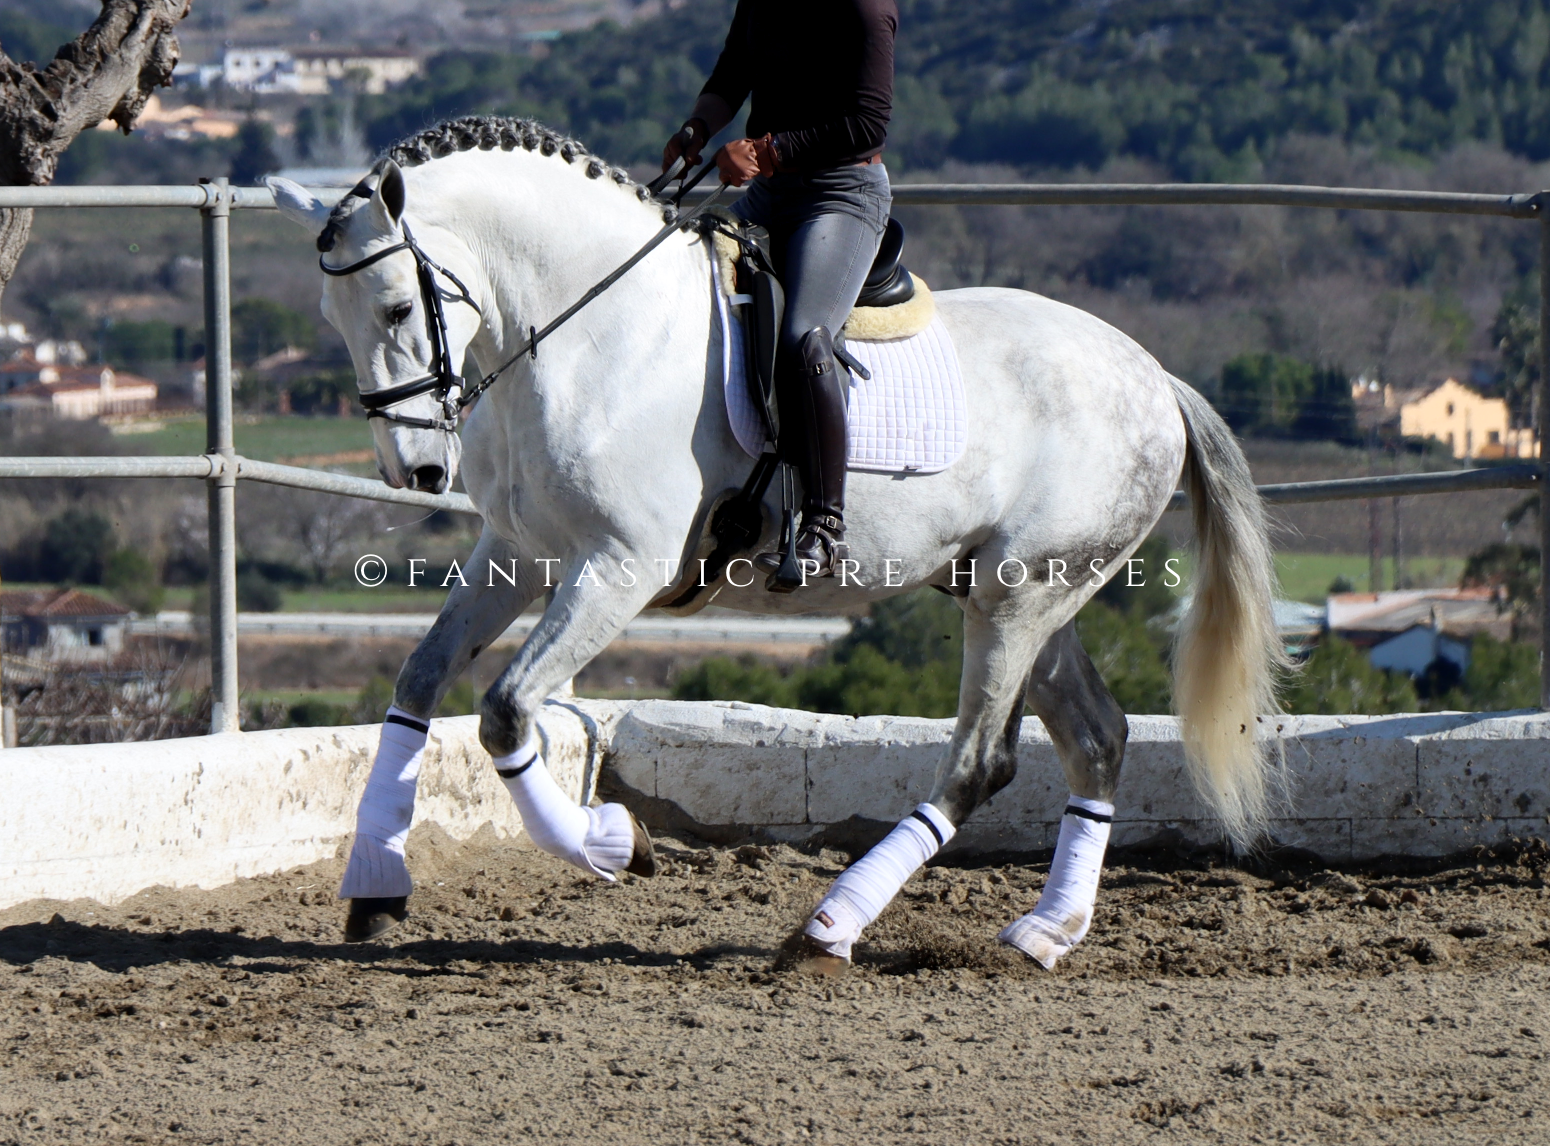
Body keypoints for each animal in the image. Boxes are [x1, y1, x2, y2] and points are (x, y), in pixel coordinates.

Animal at [268, 115, 1284, 970]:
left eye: (399, 309)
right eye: (331, 320)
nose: (415, 471)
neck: (590, 334)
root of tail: (1154, 376)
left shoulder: (619, 569)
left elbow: (508, 711)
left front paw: (615, 845)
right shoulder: (517, 556)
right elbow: (418, 684)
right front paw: (375, 890)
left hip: (1019, 595)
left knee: (979, 763)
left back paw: (829, 928)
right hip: (1023, 594)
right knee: (1097, 739)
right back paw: (1045, 933)